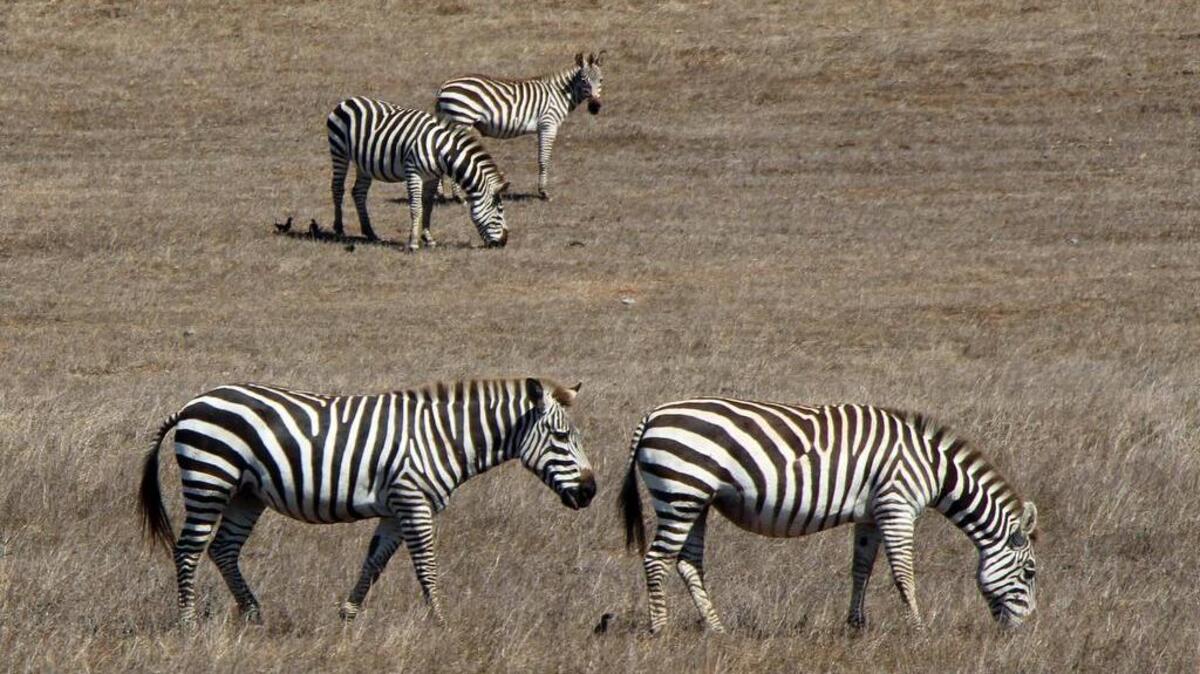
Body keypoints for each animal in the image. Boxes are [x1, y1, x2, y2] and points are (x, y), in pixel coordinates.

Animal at [138, 377, 595, 627]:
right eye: (561, 437)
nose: (591, 491)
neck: (443, 438)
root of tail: (191, 404)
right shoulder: (413, 500)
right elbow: (426, 566)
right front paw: (440, 622)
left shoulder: (396, 508)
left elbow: (374, 563)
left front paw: (347, 615)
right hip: (209, 479)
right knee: (189, 550)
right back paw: (188, 624)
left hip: (245, 494)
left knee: (223, 549)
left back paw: (253, 613)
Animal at [327, 96, 510, 250]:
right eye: (499, 211)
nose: (504, 242)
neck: (440, 150)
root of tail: (347, 100)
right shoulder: (413, 172)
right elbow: (416, 207)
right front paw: (413, 242)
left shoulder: (432, 177)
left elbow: (428, 207)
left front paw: (428, 238)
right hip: (339, 151)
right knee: (337, 188)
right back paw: (339, 229)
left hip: (364, 163)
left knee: (359, 192)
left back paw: (370, 232)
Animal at [436, 51, 605, 201]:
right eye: (583, 80)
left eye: (601, 80)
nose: (595, 107)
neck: (559, 94)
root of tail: (444, 85)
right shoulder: (548, 124)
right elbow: (544, 159)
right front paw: (543, 192)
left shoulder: (542, 128)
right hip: (462, 120)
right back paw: (458, 197)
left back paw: (441, 194)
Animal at [617, 399, 1039, 633]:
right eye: (1031, 572)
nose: (1026, 631)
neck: (933, 470)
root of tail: (652, 415)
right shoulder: (897, 507)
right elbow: (903, 573)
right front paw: (919, 629)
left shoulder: (871, 515)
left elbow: (861, 568)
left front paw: (856, 625)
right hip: (680, 493)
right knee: (657, 560)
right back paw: (660, 629)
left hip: (694, 501)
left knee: (688, 563)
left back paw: (716, 628)